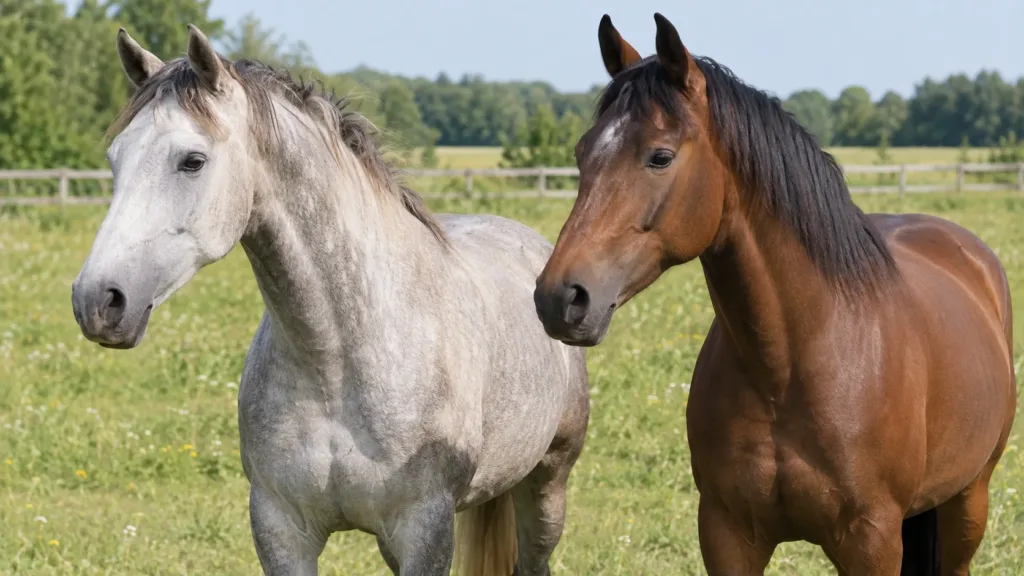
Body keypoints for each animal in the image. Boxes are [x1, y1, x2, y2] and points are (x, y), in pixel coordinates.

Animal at [70, 25, 590, 576]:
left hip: (546, 485)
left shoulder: (425, 529)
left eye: (192, 161)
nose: (97, 300)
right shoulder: (280, 529)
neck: (337, 362)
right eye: (115, 159)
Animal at [533, 12, 1016, 576]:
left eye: (660, 157)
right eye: (582, 152)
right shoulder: (727, 533)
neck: (789, 367)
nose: (560, 297)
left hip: (968, 502)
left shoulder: (872, 540)